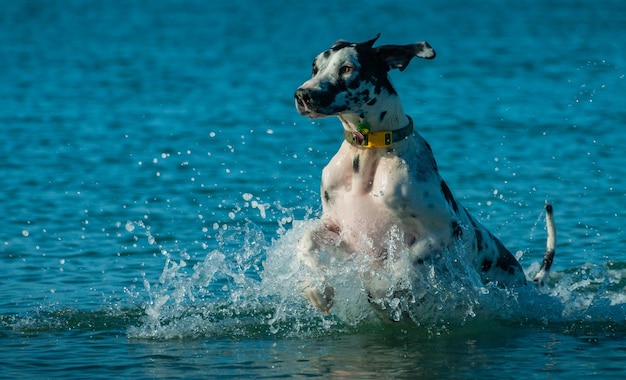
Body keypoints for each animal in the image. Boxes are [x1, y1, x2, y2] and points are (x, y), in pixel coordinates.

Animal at [290, 33, 552, 314]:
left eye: (347, 68)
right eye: (315, 67)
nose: (302, 94)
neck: (369, 152)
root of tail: (526, 281)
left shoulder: (445, 232)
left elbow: (405, 262)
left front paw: (382, 289)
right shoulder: (338, 228)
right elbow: (305, 241)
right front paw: (318, 287)